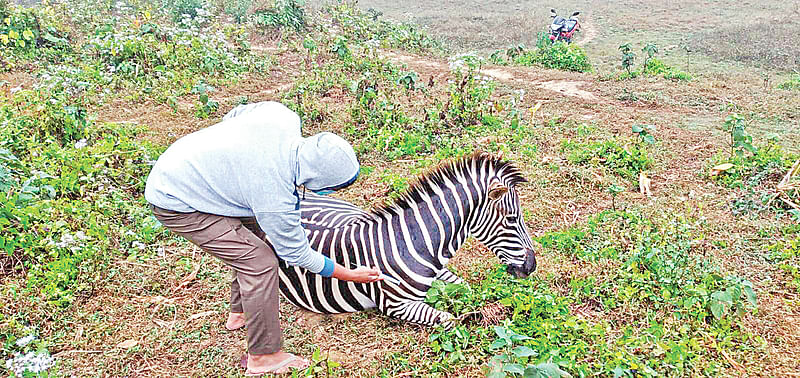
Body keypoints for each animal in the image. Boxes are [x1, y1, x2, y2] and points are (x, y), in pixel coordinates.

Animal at [276, 152, 536, 326]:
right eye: (512, 219)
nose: (531, 266)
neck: (415, 244)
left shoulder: (440, 272)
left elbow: (465, 287)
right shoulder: (396, 305)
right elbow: (448, 319)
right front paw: (472, 316)